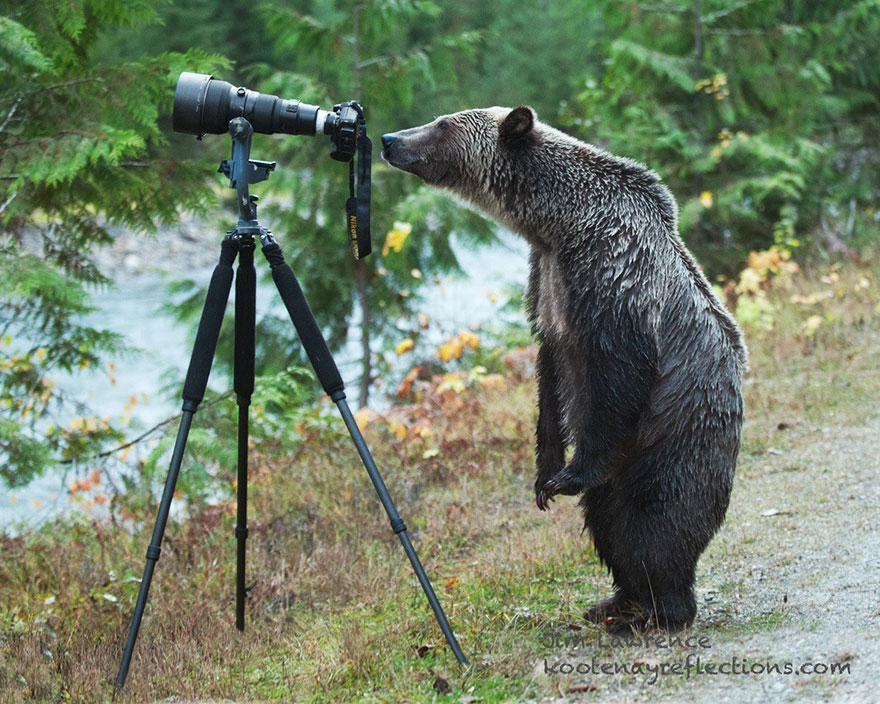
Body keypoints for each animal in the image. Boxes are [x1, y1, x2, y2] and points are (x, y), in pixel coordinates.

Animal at [381, 106, 747, 633]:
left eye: (443, 124)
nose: (390, 139)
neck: (557, 225)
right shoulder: (546, 285)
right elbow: (550, 380)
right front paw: (545, 477)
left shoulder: (611, 276)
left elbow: (617, 373)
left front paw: (567, 476)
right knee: (607, 522)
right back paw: (615, 601)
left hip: (674, 438)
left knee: (653, 522)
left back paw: (659, 609)